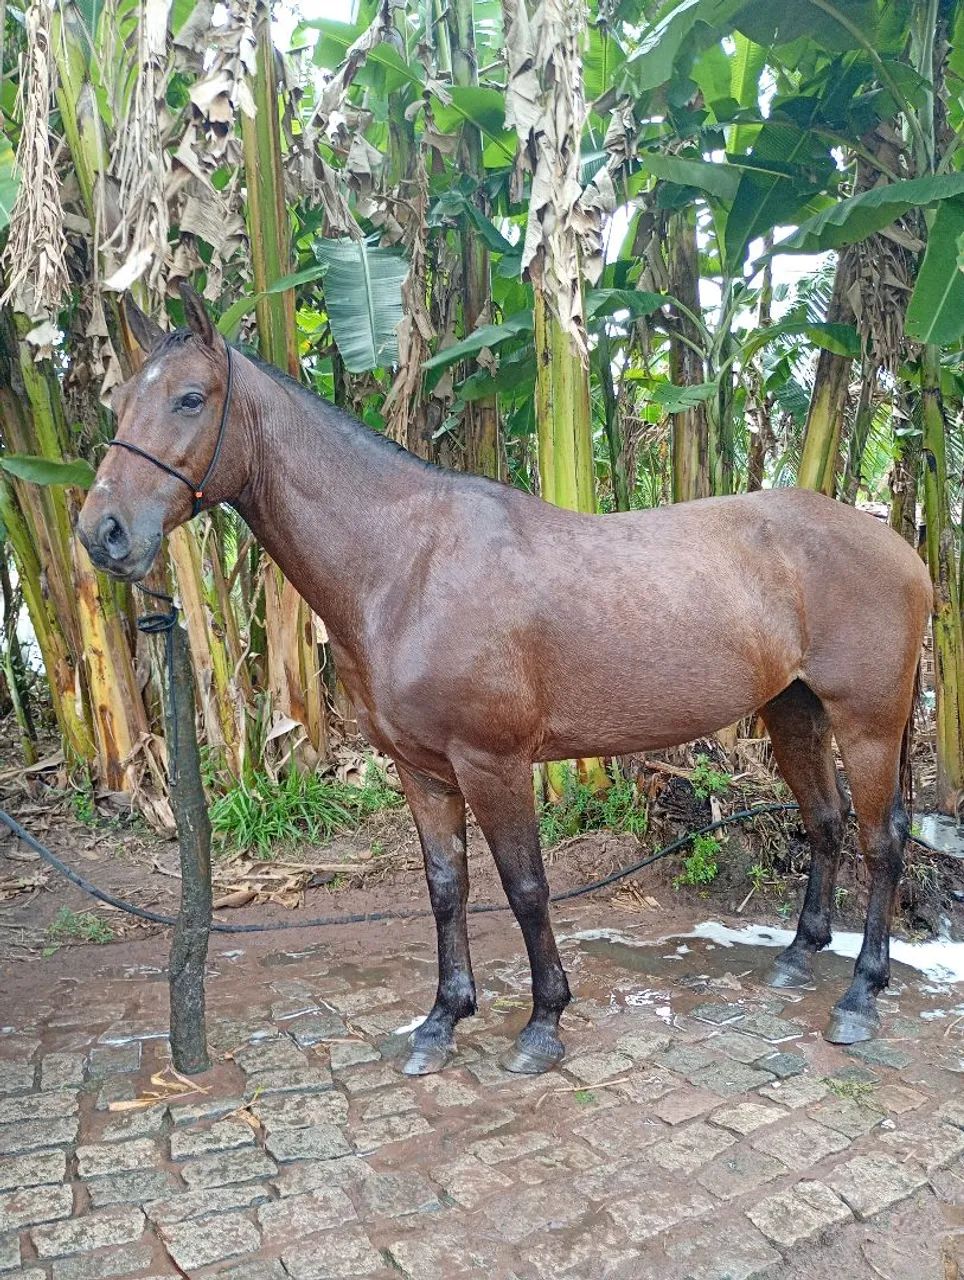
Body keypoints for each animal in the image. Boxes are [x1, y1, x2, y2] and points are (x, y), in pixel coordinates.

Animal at [77, 284, 932, 1076]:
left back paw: (860, 995)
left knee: (880, 840)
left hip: (869, 721)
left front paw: (543, 1023)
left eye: (191, 398)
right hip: (794, 711)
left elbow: (524, 888)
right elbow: (446, 887)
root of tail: (902, 549)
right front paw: (441, 1020)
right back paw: (798, 956)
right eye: (119, 400)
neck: (406, 565)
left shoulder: (493, 762)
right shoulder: (422, 771)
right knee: (824, 821)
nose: (103, 533)